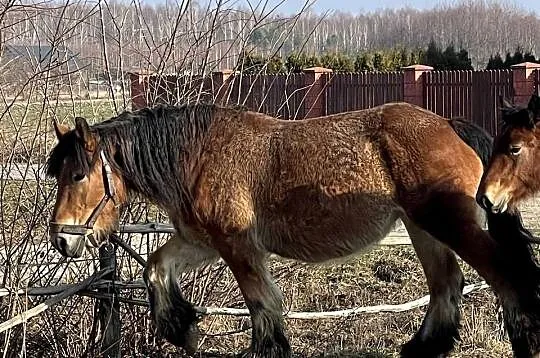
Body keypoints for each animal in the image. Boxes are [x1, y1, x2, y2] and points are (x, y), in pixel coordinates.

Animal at [46, 102, 540, 356]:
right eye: (57, 173)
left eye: (78, 175)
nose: (61, 238)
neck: (199, 154)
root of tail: (449, 124)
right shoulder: (201, 241)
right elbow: (155, 269)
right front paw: (181, 327)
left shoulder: (237, 246)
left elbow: (263, 305)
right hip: (424, 229)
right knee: (447, 287)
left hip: (449, 225)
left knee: (505, 278)